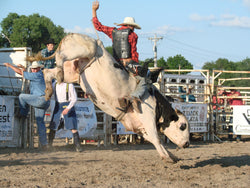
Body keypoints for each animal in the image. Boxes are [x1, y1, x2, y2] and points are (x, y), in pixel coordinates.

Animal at [27, 33, 189, 163]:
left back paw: (49, 89)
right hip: (84, 50)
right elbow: (157, 138)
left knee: (49, 72)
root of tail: (70, 35)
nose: (187, 144)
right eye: (183, 126)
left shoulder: (139, 128)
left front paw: (172, 156)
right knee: (60, 58)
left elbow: (155, 141)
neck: (156, 103)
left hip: (73, 72)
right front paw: (168, 158)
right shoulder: (147, 118)